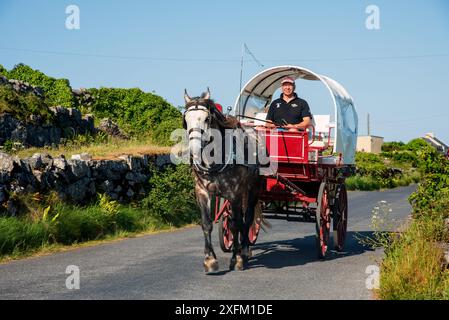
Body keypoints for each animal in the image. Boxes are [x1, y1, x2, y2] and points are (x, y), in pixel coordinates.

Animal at [181, 89, 260, 272]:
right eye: (185, 119)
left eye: (206, 119)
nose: (194, 150)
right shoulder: (202, 191)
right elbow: (207, 223)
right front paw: (210, 259)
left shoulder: (234, 193)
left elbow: (236, 224)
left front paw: (236, 259)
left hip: (252, 189)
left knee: (247, 218)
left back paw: (244, 250)